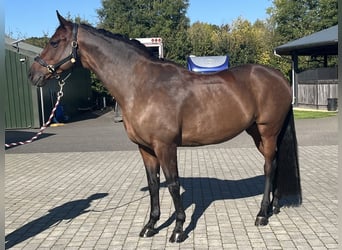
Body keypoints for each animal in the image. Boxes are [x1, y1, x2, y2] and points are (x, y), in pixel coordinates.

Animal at [30, 11, 302, 242]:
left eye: (55, 42)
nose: (33, 74)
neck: (142, 85)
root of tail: (279, 77)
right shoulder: (146, 149)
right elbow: (153, 185)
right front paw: (150, 226)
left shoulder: (165, 146)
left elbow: (172, 184)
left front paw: (178, 229)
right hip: (257, 132)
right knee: (276, 163)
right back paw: (274, 207)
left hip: (267, 131)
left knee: (268, 166)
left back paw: (262, 214)